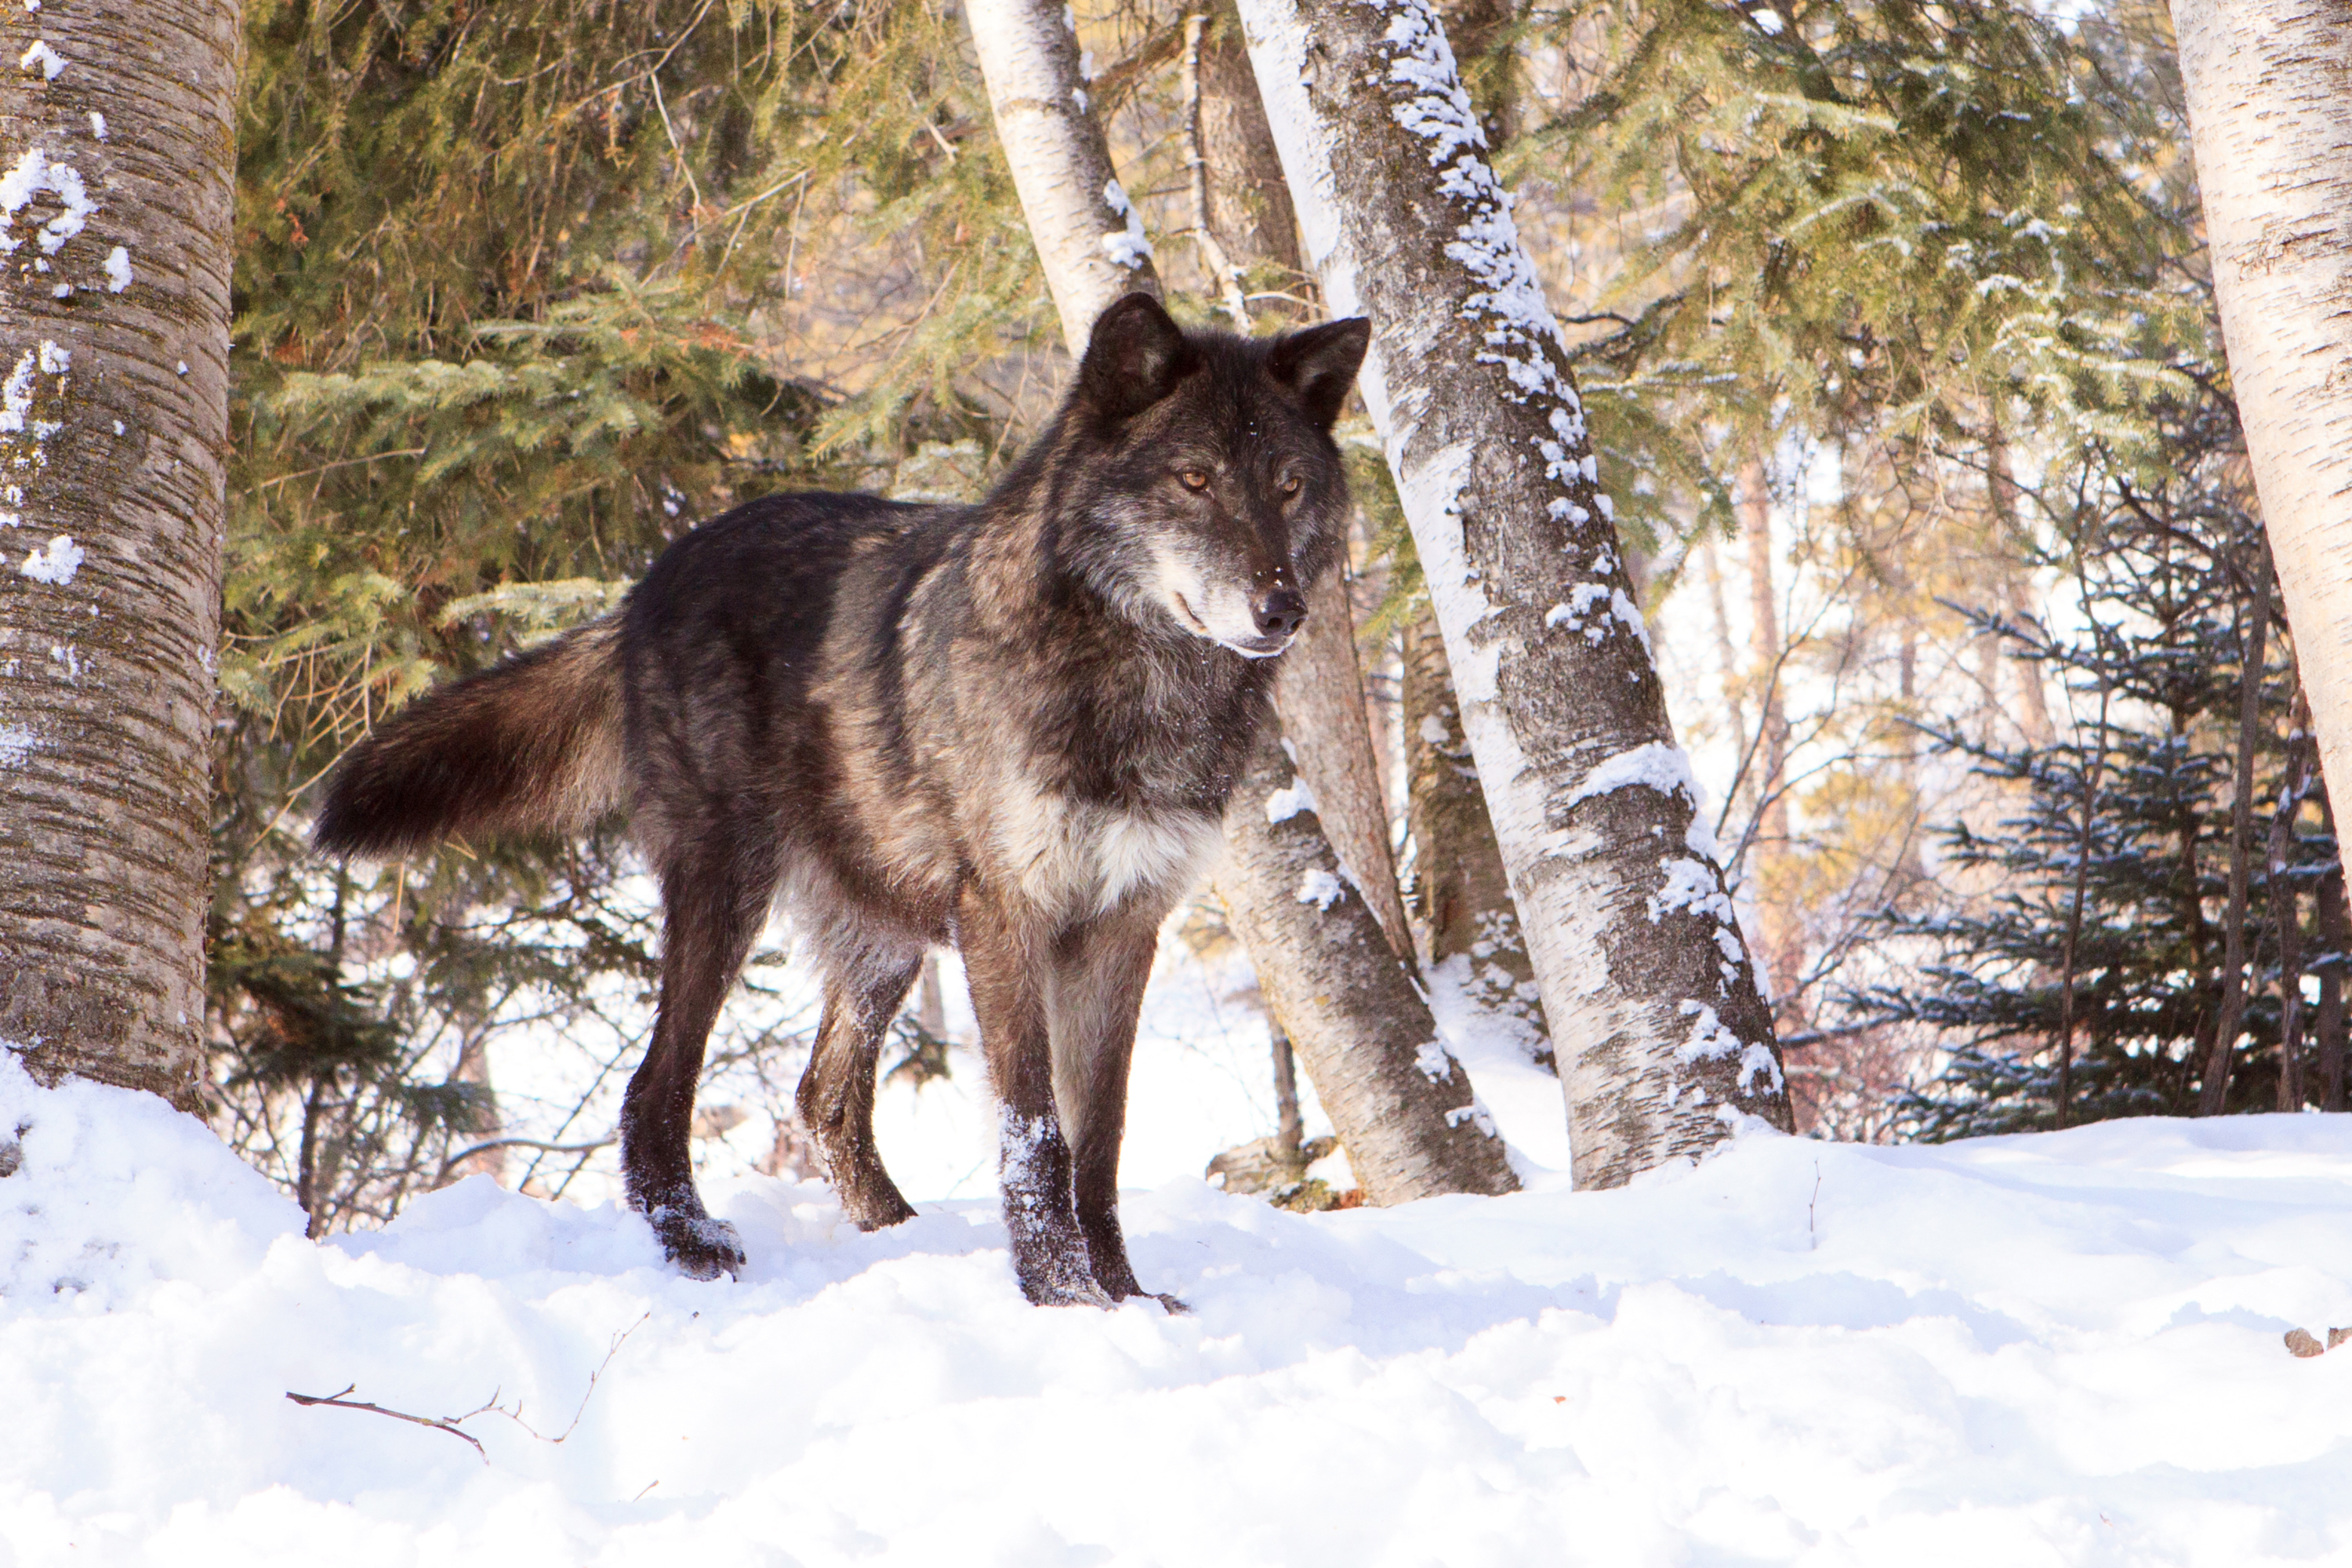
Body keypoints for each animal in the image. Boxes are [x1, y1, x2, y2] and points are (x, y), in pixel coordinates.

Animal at [322, 297, 1374, 1316]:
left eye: (1287, 486)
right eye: (1194, 479)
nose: (1282, 610)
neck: (1142, 685)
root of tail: (649, 581)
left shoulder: (1125, 926)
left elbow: (1101, 1137)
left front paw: (1125, 1292)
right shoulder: (1007, 914)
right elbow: (1035, 1130)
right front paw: (1063, 1297)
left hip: (884, 936)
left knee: (822, 1093)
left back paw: (899, 1237)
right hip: (731, 893)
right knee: (657, 1086)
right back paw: (693, 1244)